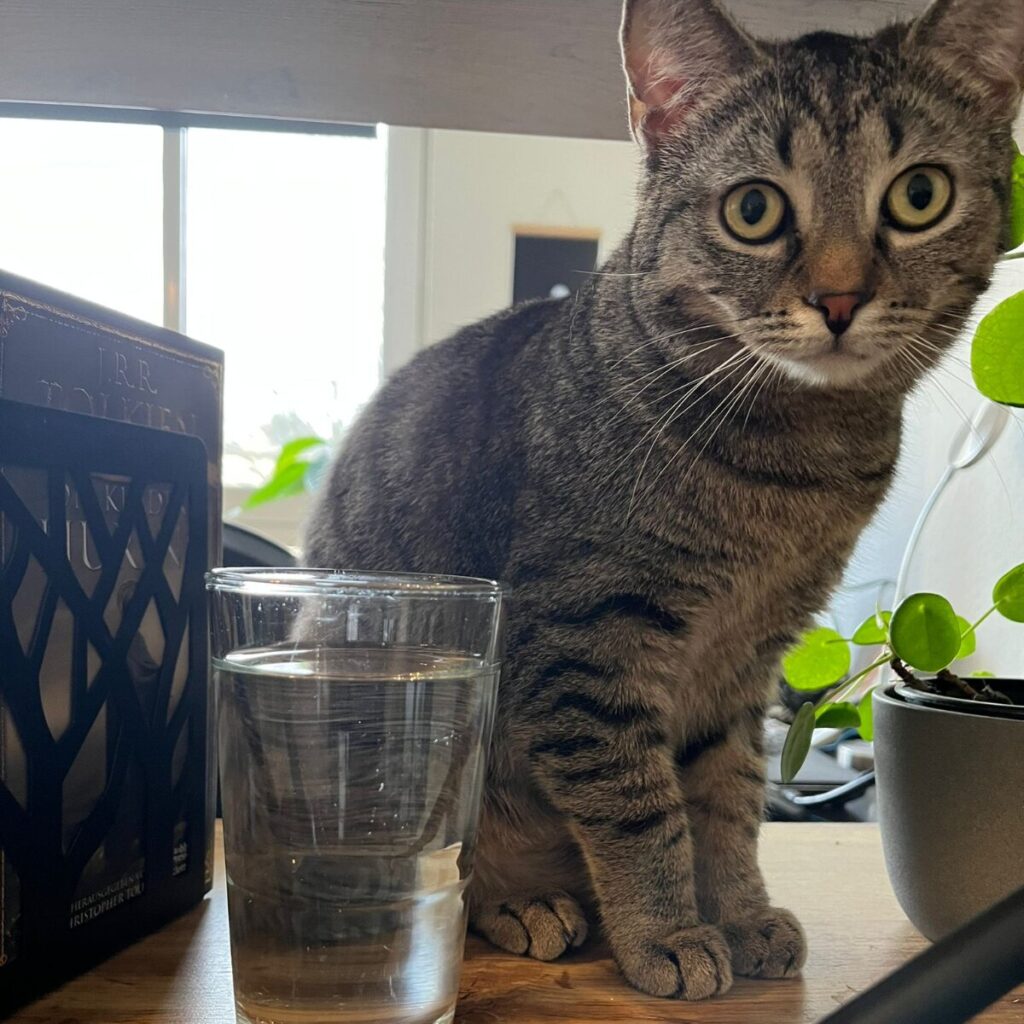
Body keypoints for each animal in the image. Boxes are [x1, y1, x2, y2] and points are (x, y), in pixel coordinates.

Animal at [303, 0, 1024, 999]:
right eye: (754, 209)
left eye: (920, 196)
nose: (839, 298)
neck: (797, 462)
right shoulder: (586, 643)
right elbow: (641, 809)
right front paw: (669, 933)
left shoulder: (746, 662)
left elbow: (726, 799)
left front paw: (741, 912)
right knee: (442, 867)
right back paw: (520, 902)